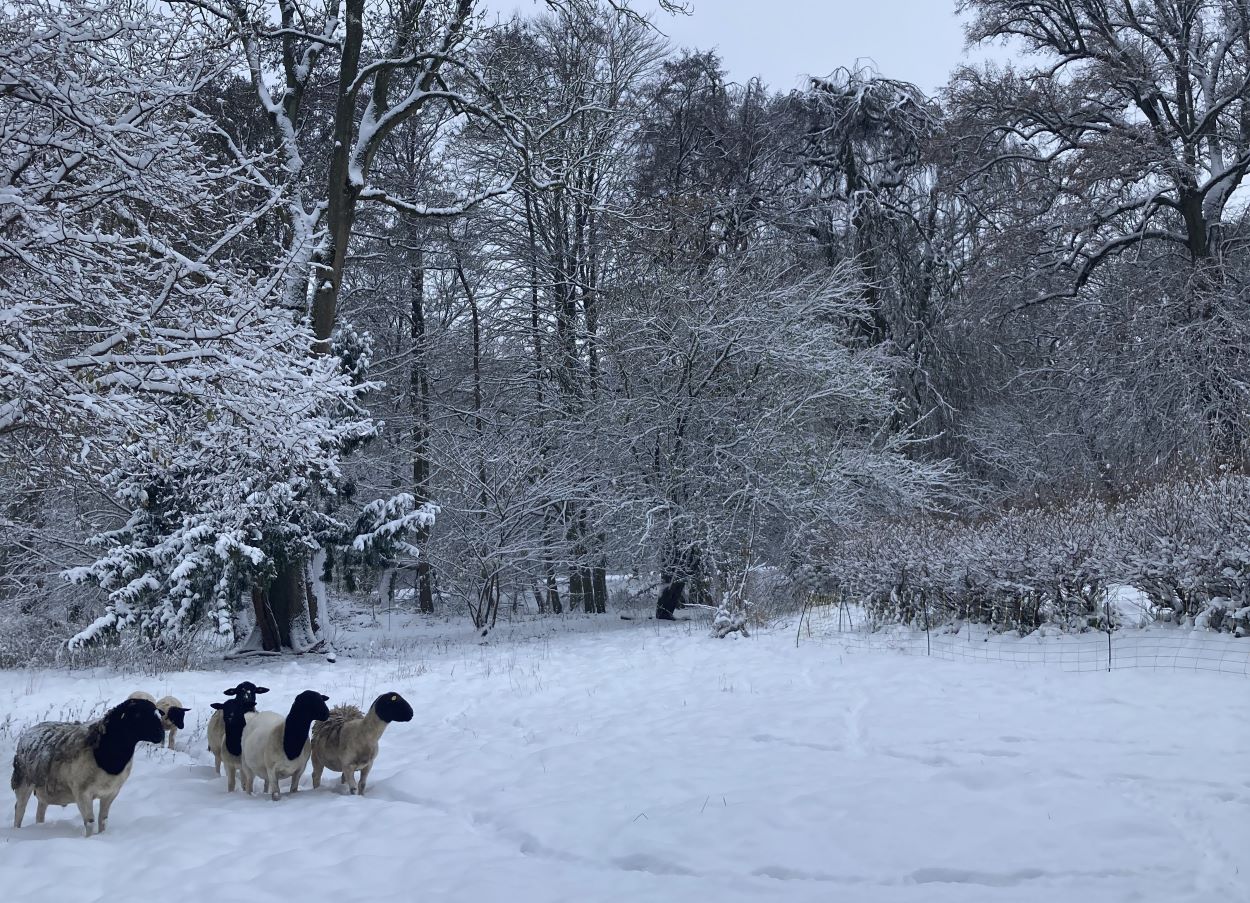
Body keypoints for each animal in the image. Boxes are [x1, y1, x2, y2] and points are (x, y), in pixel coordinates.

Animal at [11, 697, 165, 837]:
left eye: (157, 713)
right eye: (138, 714)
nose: (161, 735)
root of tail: (29, 731)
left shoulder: (111, 793)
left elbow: (103, 820)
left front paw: (102, 836)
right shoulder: (82, 793)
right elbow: (90, 822)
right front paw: (89, 840)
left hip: (44, 786)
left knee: (40, 810)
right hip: (23, 781)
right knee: (20, 809)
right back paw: (17, 831)